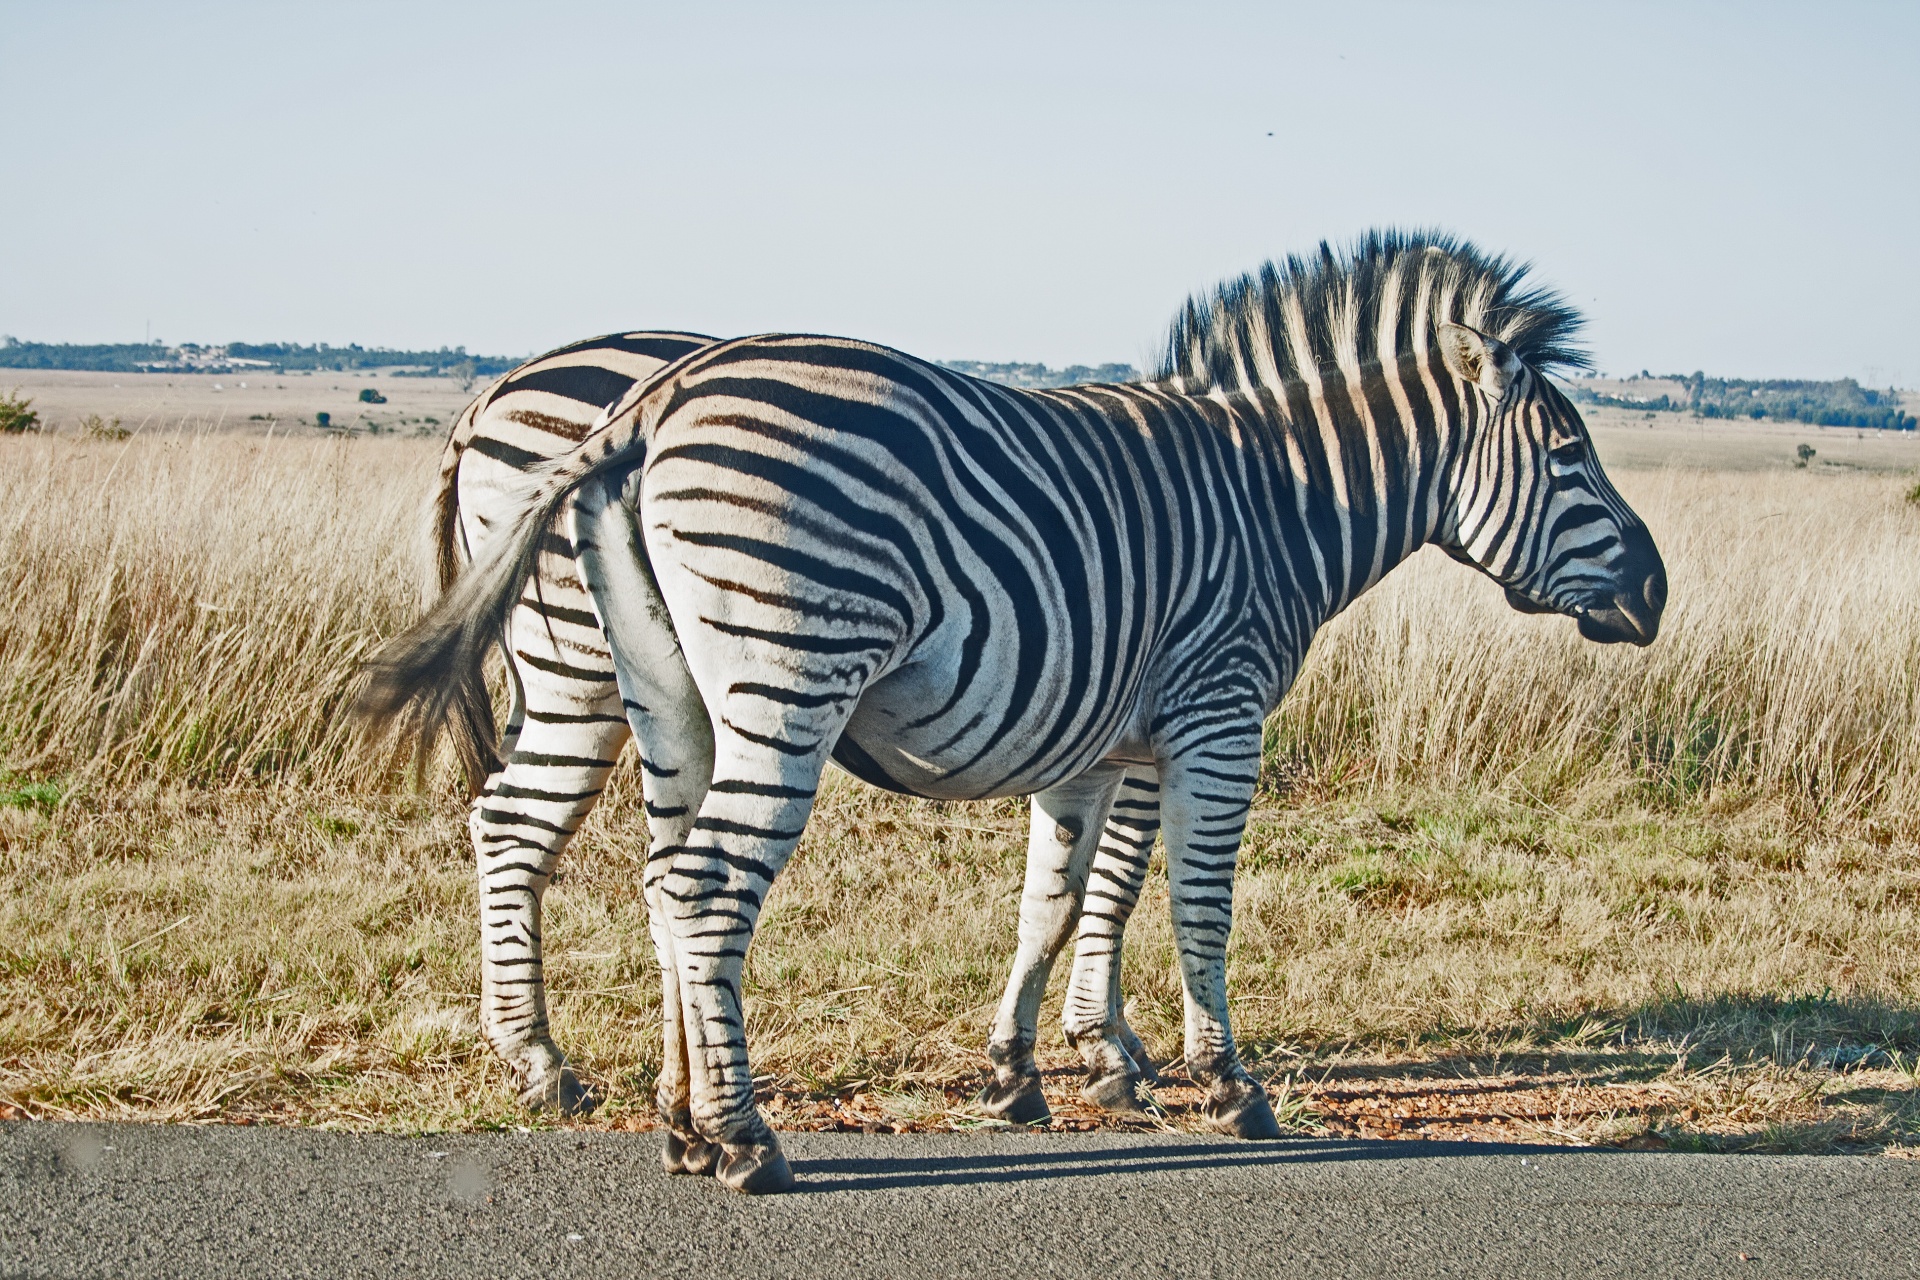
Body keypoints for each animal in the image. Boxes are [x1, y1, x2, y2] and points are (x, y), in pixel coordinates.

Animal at [366, 233, 1658, 1189]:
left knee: (650, 868)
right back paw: (708, 1125)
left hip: (661, 690)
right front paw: (1214, 1080)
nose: (1651, 591)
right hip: (730, 671)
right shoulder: (1214, 709)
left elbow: (1062, 893)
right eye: (1569, 454)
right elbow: (1188, 898)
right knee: (663, 868)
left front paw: (1026, 1068)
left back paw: (672, 1115)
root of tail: (627, 407)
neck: (1276, 500)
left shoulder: (1094, 734)